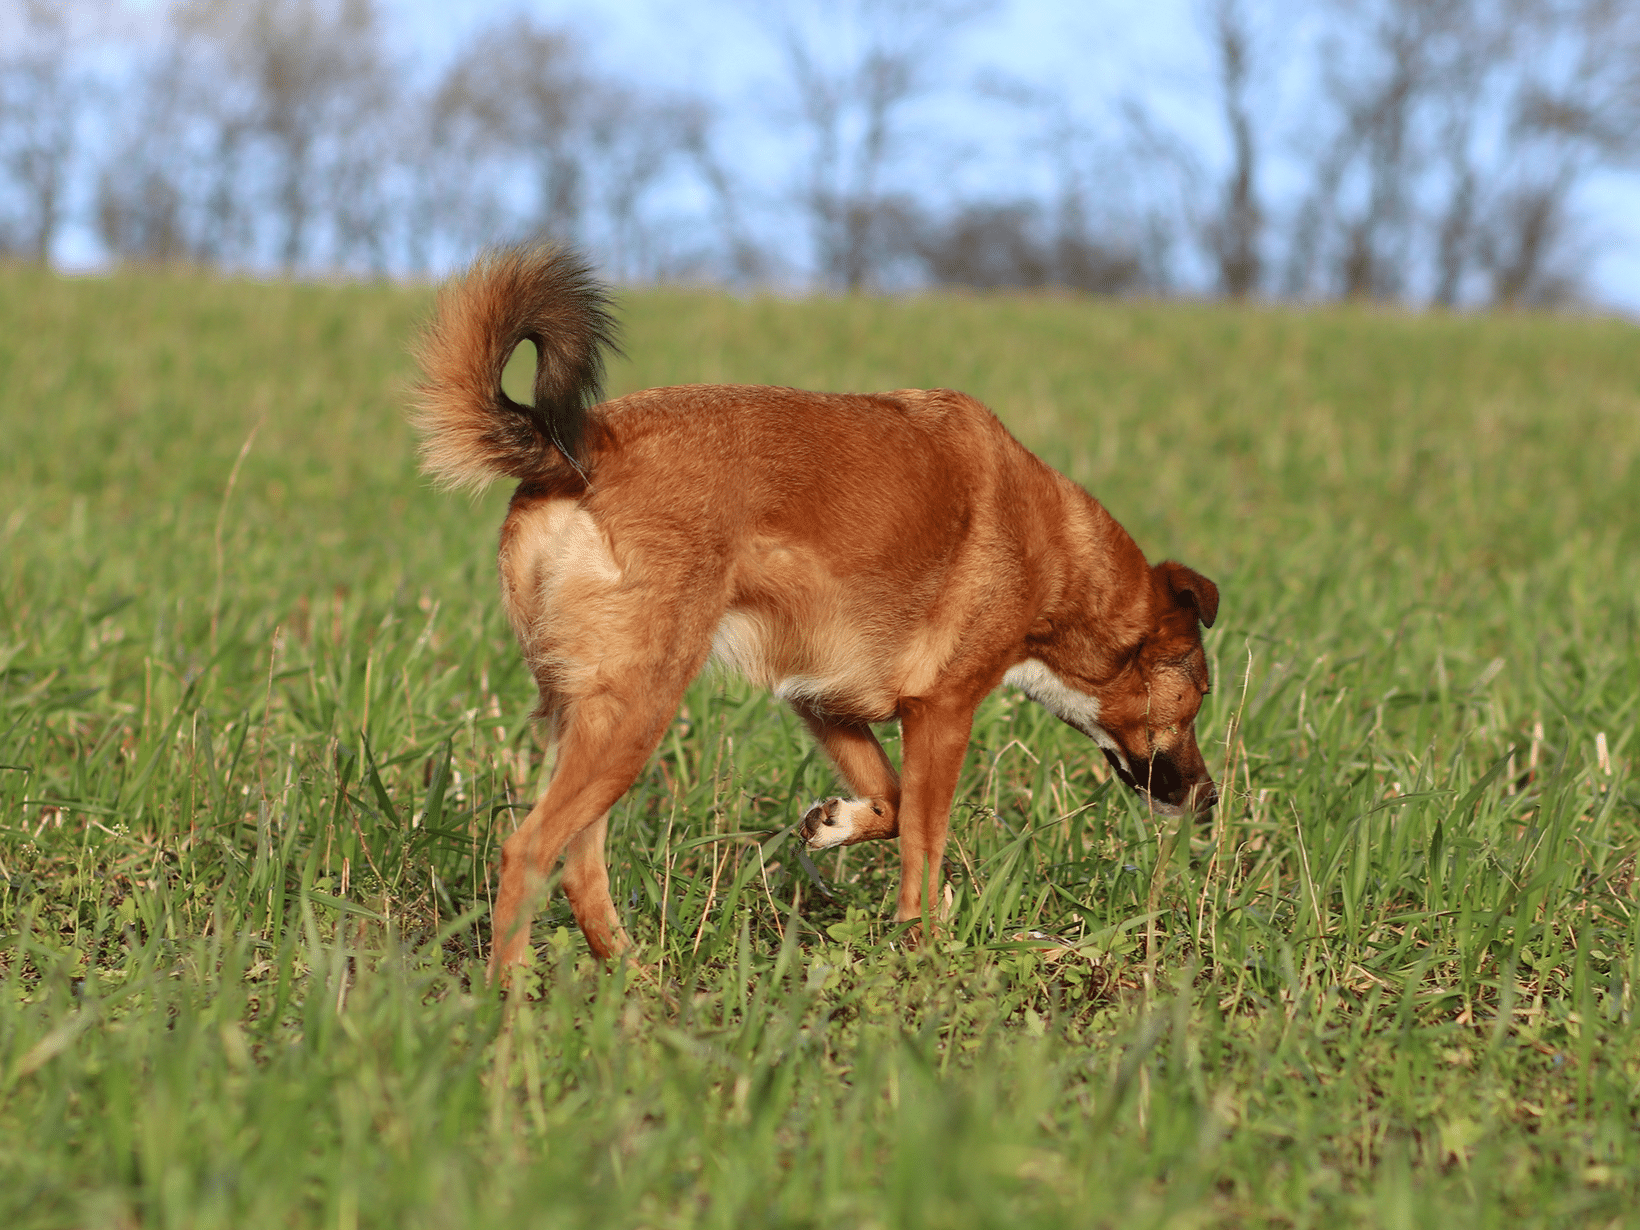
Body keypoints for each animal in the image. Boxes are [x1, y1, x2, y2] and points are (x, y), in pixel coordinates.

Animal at [413, 246, 1220, 977]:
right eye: (1198, 697)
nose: (1211, 801)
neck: (1057, 556)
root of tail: (575, 451)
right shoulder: (942, 712)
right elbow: (924, 846)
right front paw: (925, 951)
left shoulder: (823, 702)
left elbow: (890, 804)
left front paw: (835, 825)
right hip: (637, 708)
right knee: (529, 851)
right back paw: (512, 1006)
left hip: (591, 717)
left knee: (580, 859)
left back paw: (631, 979)